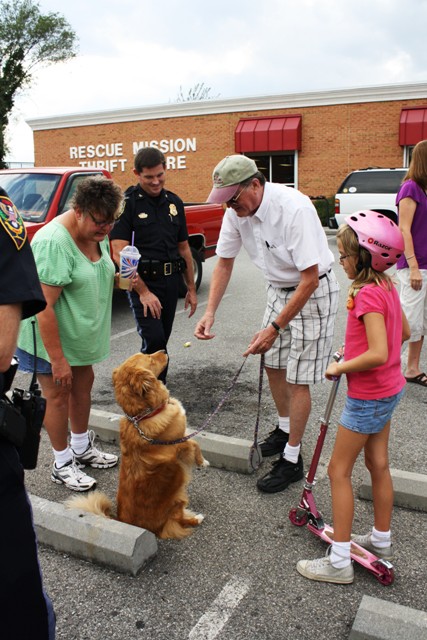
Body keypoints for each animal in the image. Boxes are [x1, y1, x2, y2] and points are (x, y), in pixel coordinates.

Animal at [67, 352, 211, 536]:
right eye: (150, 358)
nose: (164, 351)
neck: (144, 415)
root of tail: (123, 521)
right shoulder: (176, 446)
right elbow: (194, 443)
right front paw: (202, 461)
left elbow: (193, 440)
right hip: (177, 500)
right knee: (178, 520)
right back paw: (196, 518)